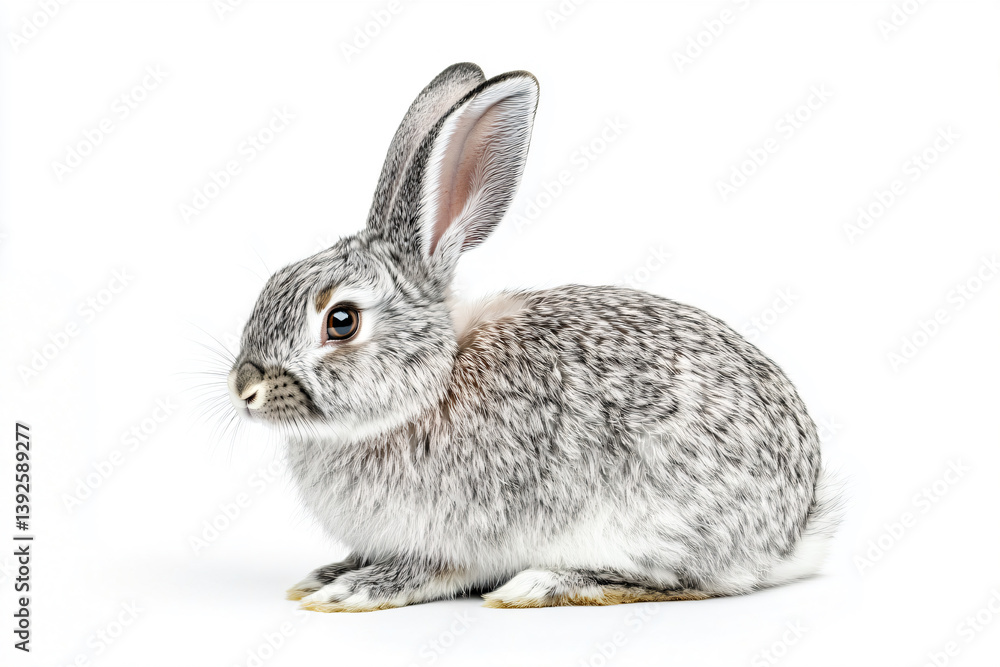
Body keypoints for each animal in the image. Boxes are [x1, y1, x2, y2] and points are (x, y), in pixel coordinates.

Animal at [226, 62, 840, 612]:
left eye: (342, 321)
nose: (245, 388)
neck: (427, 388)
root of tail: (792, 532)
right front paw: (327, 574)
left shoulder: (459, 532)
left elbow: (430, 570)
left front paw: (354, 591)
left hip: (654, 523)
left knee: (693, 582)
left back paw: (540, 585)